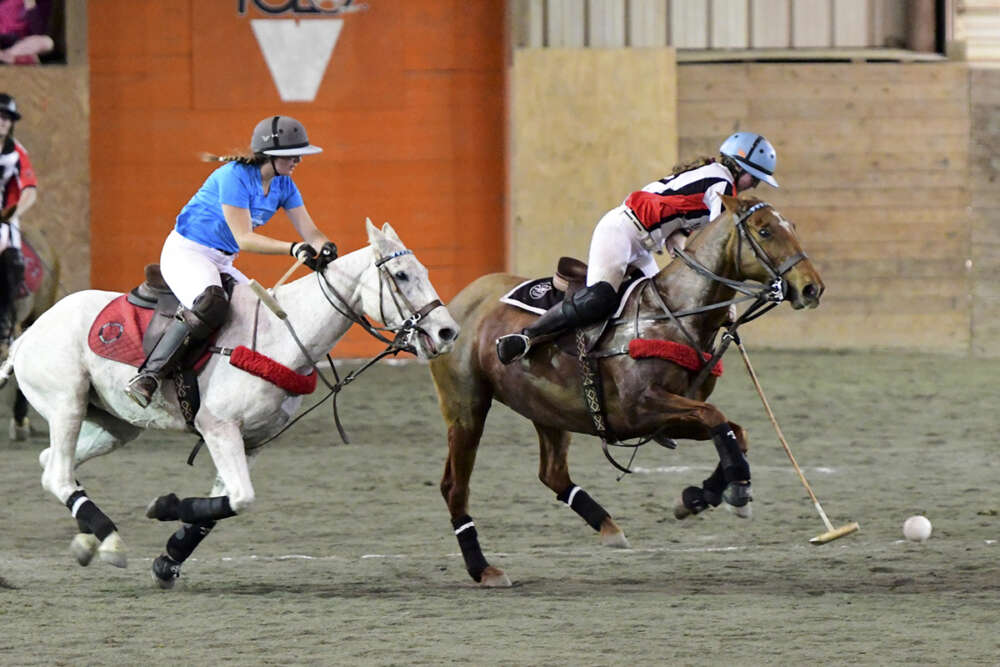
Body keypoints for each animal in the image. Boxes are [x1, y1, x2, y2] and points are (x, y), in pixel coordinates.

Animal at [0, 222, 458, 588]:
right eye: (401, 274)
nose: (447, 331)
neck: (282, 335)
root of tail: (25, 336)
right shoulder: (218, 427)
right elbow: (241, 498)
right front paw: (164, 507)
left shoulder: (253, 440)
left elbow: (223, 505)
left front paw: (168, 559)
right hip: (67, 403)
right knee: (59, 474)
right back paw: (109, 540)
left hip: (116, 425)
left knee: (51, 465)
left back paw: (86, 541)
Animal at [430, 196, 828, 588]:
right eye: (764, 230)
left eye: (792, 225)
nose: (812, 288)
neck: (676, 313)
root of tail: (456, 303)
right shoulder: (640, 409)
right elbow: (717, 418)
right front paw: (736, 489)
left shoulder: (667, 418)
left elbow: (733, 430)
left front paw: (704, 495)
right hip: (466, 408)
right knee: (454, 487)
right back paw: (483, 568)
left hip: (544, 407)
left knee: (551, 472)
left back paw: (608, 527)